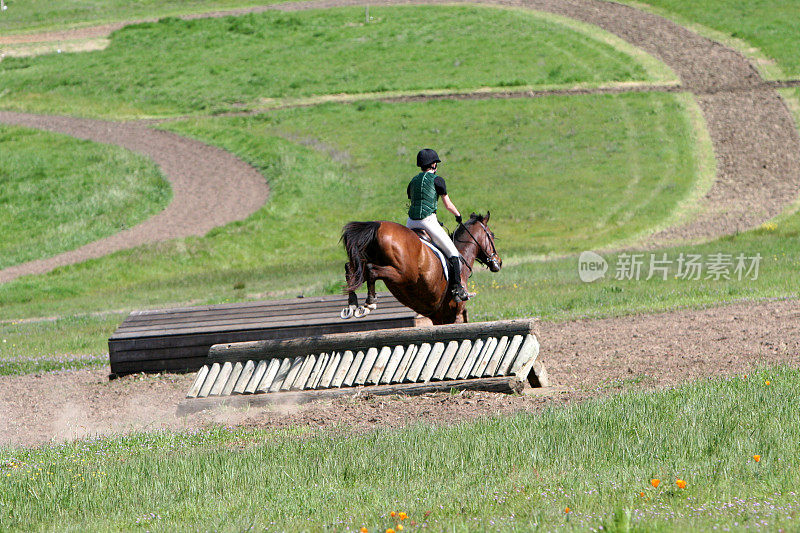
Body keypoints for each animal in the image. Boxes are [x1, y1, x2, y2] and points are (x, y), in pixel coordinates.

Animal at [338, 212, 500, 324]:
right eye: (491, 235)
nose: (499, 262)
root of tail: (377, 226)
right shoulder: (455, 314)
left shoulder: (438, 316)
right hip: (402, 274)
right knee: (372, 271)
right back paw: (369, 303)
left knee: (352, 270)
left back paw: (352, 305)